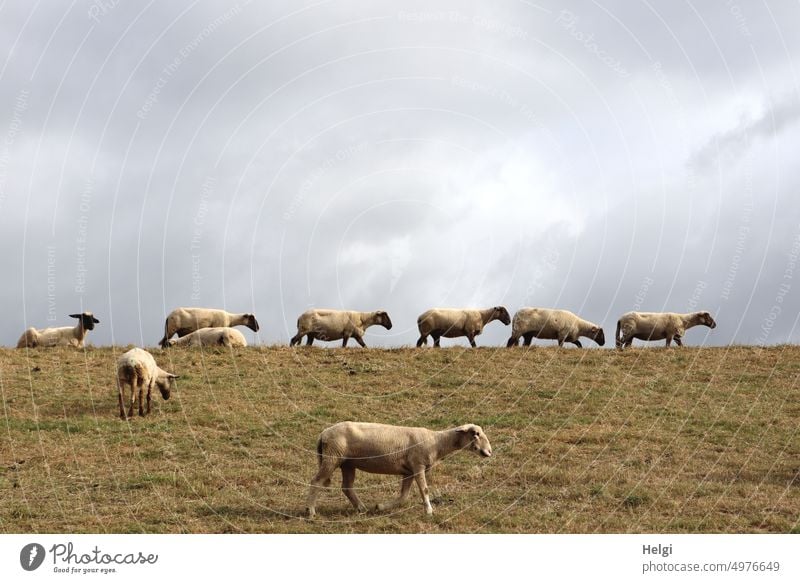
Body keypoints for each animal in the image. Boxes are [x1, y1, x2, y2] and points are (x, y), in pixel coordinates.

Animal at [306, 422, 494, 516]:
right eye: (476, 434)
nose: (490, 451)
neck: (437, 442)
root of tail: (323, 434)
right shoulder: (418, 465)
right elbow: (425, 490)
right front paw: (429, 511)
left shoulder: (408, 471)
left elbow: (403, 496)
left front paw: (380, 507)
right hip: (332, 457)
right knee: (316, 481)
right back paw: (310, 511)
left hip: (347, 463)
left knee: (347, 487)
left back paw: (361, 508)